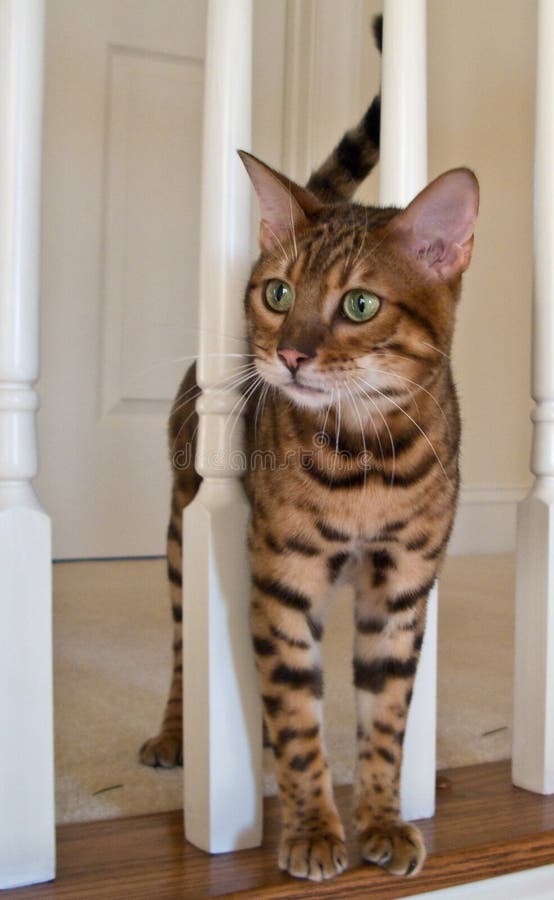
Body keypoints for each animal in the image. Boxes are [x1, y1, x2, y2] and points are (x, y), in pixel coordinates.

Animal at [139, 33, 478, 880]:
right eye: (279, 294)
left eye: (359, 304)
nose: (288, 355)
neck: (364, 463)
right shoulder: (283, 577)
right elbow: (298, 715)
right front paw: (316, 830)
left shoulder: (402, 586)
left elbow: (385, 718)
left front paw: (383, 819)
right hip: (180, 534)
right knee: (186, 650)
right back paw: (177, 734)